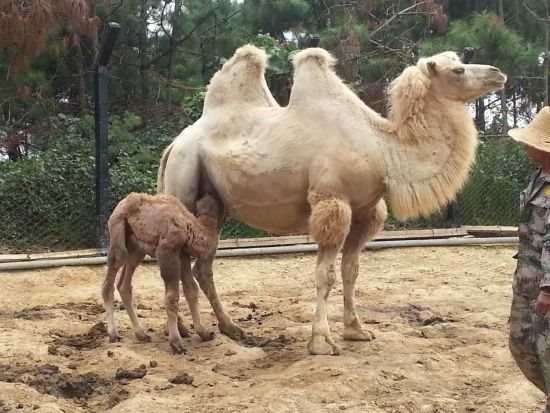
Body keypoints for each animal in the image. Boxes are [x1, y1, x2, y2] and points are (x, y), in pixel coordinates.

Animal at [102, 192, 219, 352]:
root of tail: (121, 203)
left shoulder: (182, 254)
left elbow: (191, 289)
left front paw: (204, 333)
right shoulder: (167, 250)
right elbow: (172, 297)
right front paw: (176, 343)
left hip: (136, 248)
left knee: (124, 285)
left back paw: (142, 334)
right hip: (118, 231)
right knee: (111, 277)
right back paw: (114, 334)